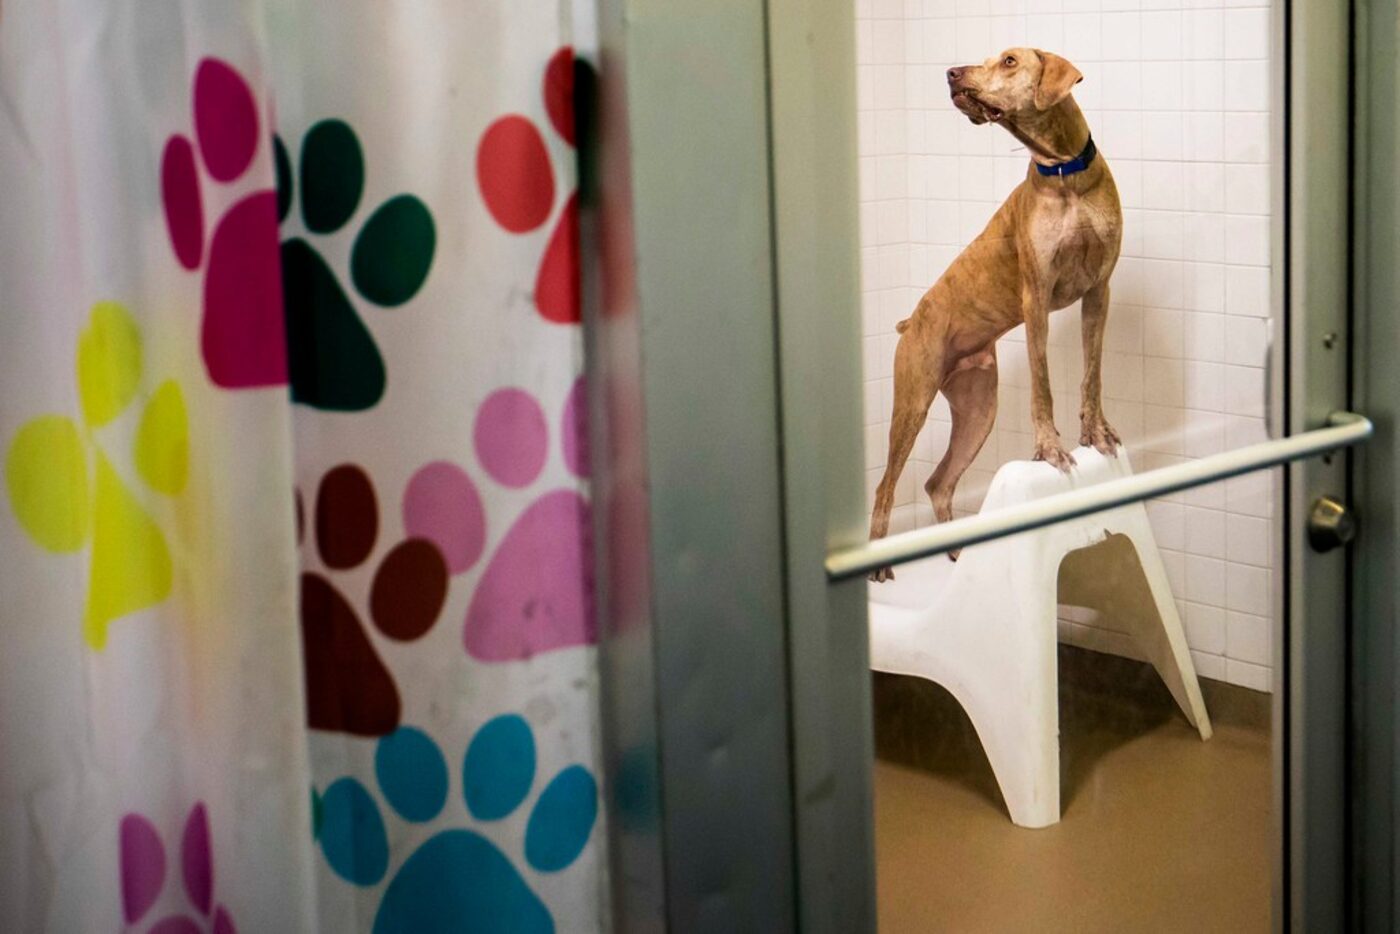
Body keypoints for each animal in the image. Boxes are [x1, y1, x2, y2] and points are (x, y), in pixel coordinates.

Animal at [868, 51, 1120, 579]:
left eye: (1008, 60)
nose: (951, 73)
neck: (1065, 176)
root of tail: (910, 321)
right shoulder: (1036, 298)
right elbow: (1044, 386)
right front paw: (1050, 448)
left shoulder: (1099, 292)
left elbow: (1093, 373)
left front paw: (1096, 433)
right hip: (913, 399)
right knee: (886, 485)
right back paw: (880, 562)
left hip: (978, 407)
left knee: (939, 483)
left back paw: (955, 553)